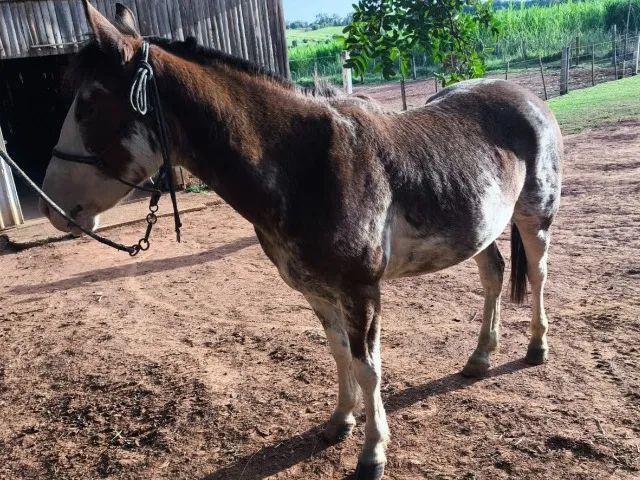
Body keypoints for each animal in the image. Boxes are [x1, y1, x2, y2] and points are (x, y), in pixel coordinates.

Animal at [40, 3, 563, 479]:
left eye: (88, 103)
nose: (52, 208)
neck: (308, 165)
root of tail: (528, 97)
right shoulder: (317, 288)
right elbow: (339, 354)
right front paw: (339, 423)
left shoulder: (360, 290)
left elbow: (369, 366)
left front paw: (373, 453)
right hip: (482, 229)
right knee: (494, 275)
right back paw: (479, 357)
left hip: (534, 217)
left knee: (537, 274)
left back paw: (536, 348)